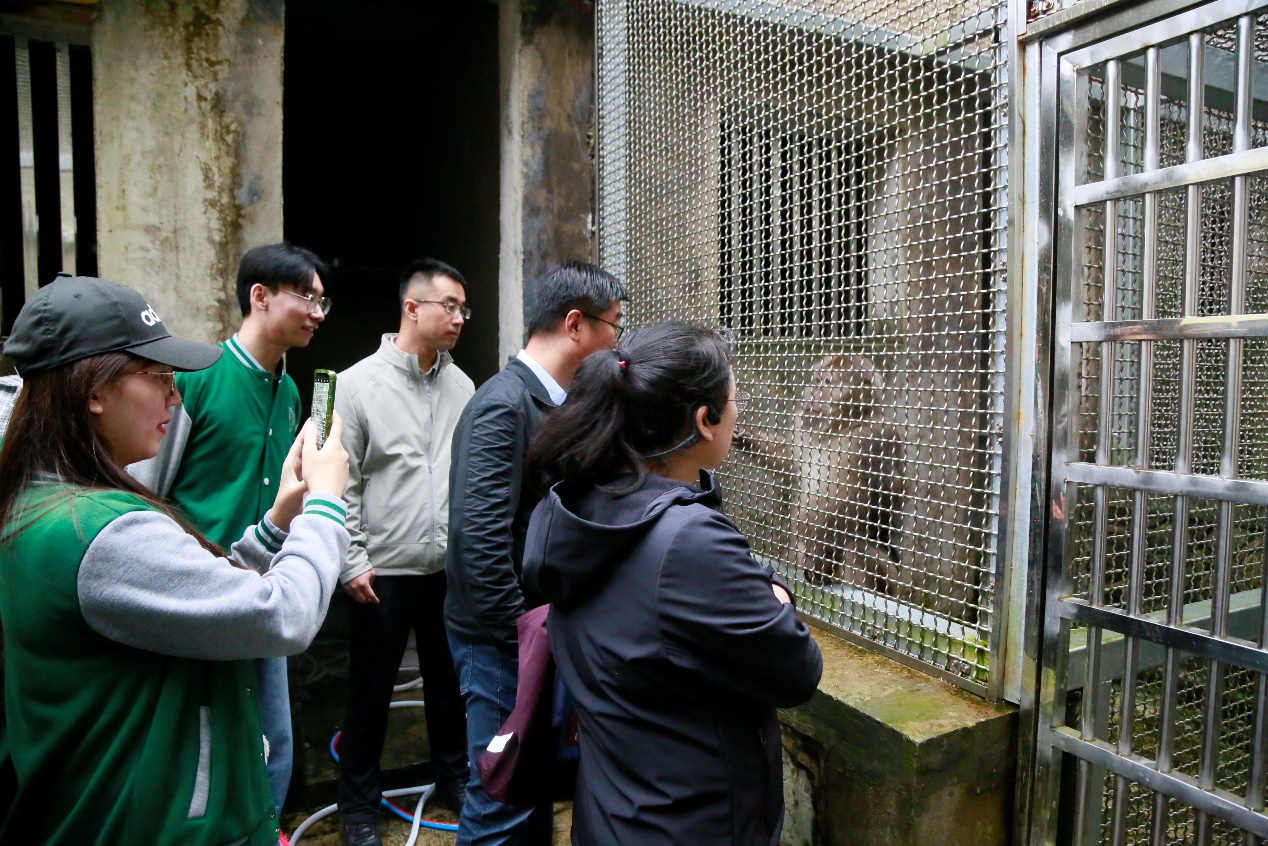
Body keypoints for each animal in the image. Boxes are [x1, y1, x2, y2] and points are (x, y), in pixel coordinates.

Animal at [732, 354, 906, 593]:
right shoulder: (803, 423)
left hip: (890, 581)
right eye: (816, 379)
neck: (841, 426)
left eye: (827, 382)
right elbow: (791, 462)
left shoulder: (876, 438)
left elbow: (866, 504)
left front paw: (821, 561)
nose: (813, 392)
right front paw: (745, 437)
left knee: (855, 547)